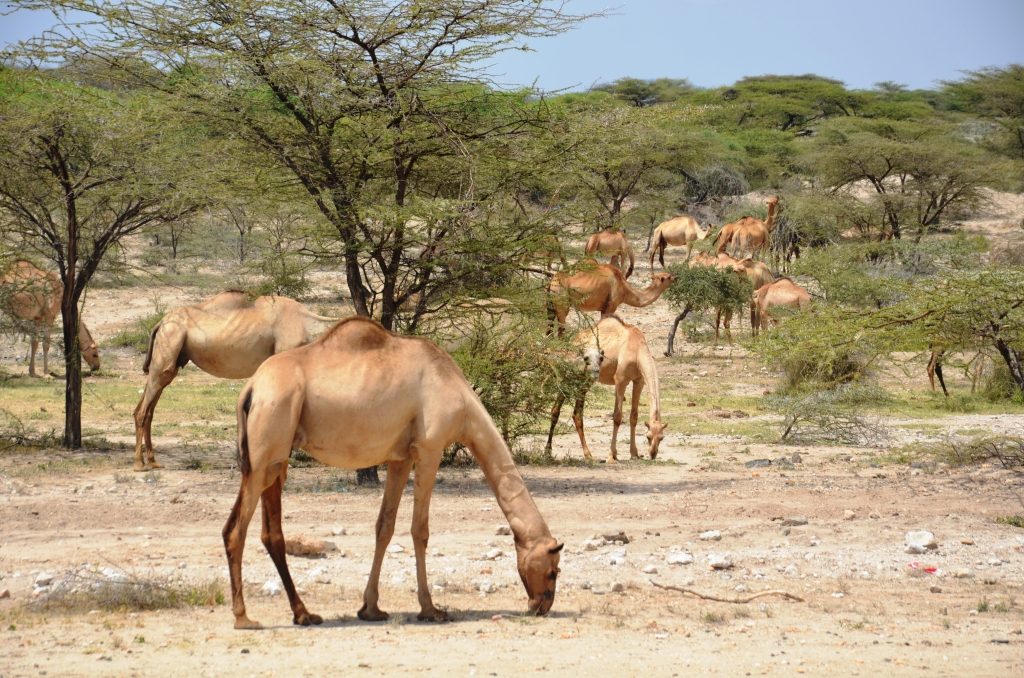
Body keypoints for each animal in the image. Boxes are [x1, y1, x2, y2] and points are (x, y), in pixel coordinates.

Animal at [130, 290, 339, 473]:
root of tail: (161, 323)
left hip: (172, 357)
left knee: (149, 407)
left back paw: (153, 462)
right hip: (169, 342)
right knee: (144, 409)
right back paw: (139, 464)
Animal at [224, 319, 565, 630]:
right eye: (553, 570)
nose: (542, 605)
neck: (462, 401)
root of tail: (250, 389)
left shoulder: (400, 458)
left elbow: (384, 526)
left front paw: (371, 609)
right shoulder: (430, 448)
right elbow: (420, 530)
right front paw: (431, 610)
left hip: (275, 456)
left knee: (271, 533)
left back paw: (304, 614)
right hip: (267, 442)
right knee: (235, 530)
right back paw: (244, 618)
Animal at [548, 315, 667, 464]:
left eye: (661, 437)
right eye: (648, 436)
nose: (652, 454)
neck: (637, 350)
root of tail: (573, 341)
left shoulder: (639, 381)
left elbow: (634, 416)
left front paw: (634, 454)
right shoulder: (620, 380)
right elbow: (617, 416)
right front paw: (612, 456)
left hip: (584, 380)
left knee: (575, 414)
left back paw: (587, 455)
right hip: (570, 376)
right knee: (558, 410)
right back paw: (553, 452)